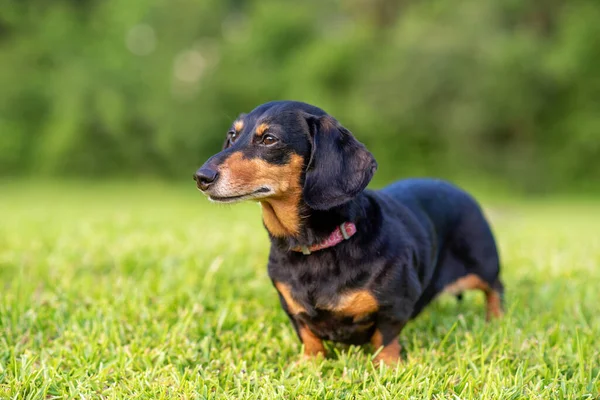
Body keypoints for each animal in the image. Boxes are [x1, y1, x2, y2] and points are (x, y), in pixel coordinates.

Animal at [195, 101, 504, 366]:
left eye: (269, 139)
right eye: (232, 136)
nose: (201, 177)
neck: (316, 248)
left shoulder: (395, 305)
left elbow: (385, 339)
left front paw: (388, 367)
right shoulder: (290, 306)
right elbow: (308, 336)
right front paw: (309, 365)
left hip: (484, 267)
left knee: (496, 289)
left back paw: (496, 322)